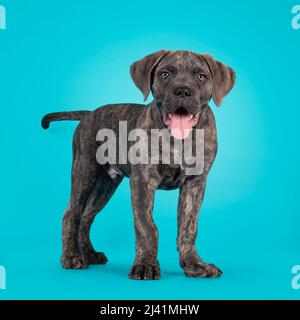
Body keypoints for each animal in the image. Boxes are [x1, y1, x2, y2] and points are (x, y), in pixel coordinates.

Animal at [42, 50, 236, 280]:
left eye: (200, 76)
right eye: (165, 74)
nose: (183, 91)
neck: (178, 139)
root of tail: (89, 113)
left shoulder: (195, 183)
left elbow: (189, 227)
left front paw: (194, 265)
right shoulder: (143, 181)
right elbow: (146, 226)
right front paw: (146, 266)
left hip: (106, 184)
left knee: (87, 216)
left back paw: (89, 254)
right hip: (84, 171)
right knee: (72, 213)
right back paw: (71, 257)